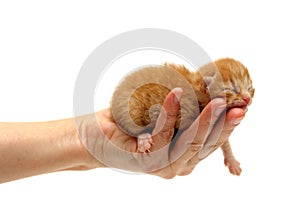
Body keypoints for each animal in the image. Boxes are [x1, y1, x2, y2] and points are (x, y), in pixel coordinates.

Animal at [109, 57, 254, 175]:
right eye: (232, 90)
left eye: (250, 88)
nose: (247, 98)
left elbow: (225, 143)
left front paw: (232, 160)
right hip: (129, 108)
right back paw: (143, 138)